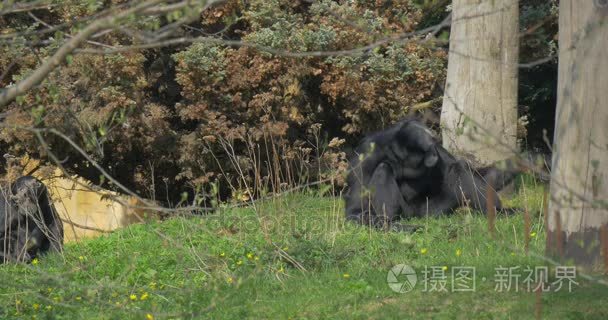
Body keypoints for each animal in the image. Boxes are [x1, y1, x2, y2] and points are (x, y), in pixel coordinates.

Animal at [344, 119, 516, 229]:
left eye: (431, 149)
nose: (432, 156)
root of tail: (417, 214)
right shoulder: (366, 153)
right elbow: (355, 212)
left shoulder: (437, 148)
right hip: (408, 212)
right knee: (383, 168)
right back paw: (390, 223)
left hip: (433, 210)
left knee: (457, 168)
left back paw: (497, 212)